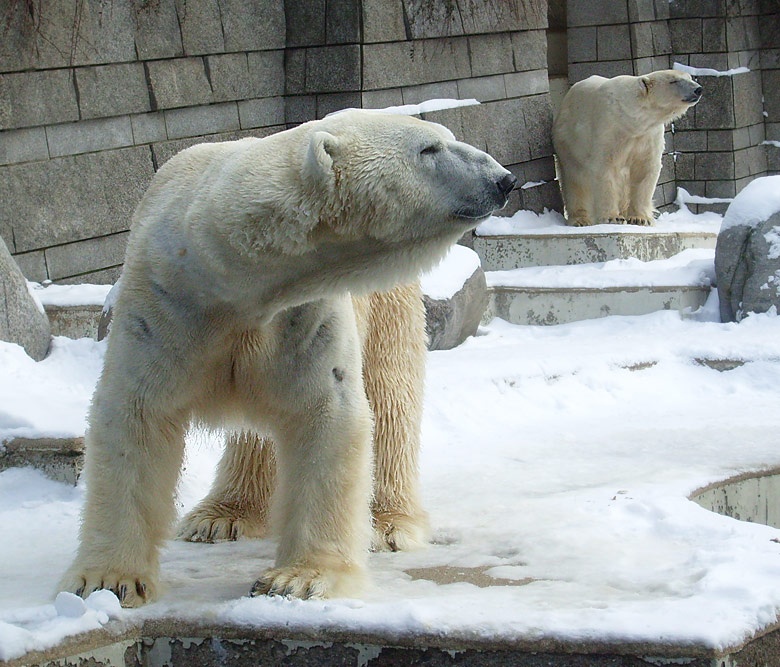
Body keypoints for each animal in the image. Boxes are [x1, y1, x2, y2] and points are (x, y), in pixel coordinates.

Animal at [58, 108, 516, 604]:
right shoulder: (164, 304)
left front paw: (299, 578)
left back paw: (386, 524)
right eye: (429, 148)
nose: (504, 179)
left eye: (443, 137)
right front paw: (107, 580)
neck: (231, 276)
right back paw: (220, 516)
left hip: (387, 304)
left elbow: (328, 416)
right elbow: (136, 417)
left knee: (391, 397)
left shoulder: (306, 314)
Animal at [552, 70, 704, 227]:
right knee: (575, 181)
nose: (698, 89)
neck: (631, 120)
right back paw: (580, 220)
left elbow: (645, 170)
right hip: (568, 143)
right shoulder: (608, 129)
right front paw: (613, 218)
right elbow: (604, 169)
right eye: (673, 81)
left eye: (689, 78)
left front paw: (640, 219)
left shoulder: (648, 135)